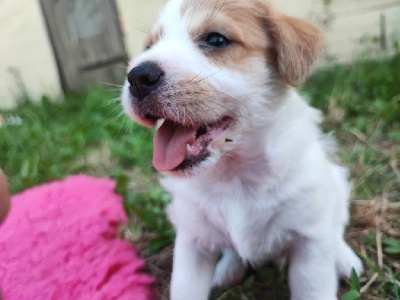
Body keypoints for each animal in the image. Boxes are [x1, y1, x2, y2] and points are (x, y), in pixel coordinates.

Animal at [121, 1, 362, 298]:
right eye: (149, 46)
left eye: (216, 39)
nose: (137, 77)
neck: (233, 173)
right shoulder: (192, 242)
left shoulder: (310, 242)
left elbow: (313, 285)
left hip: (336, 185)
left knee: (336, 226)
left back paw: (345, 259)